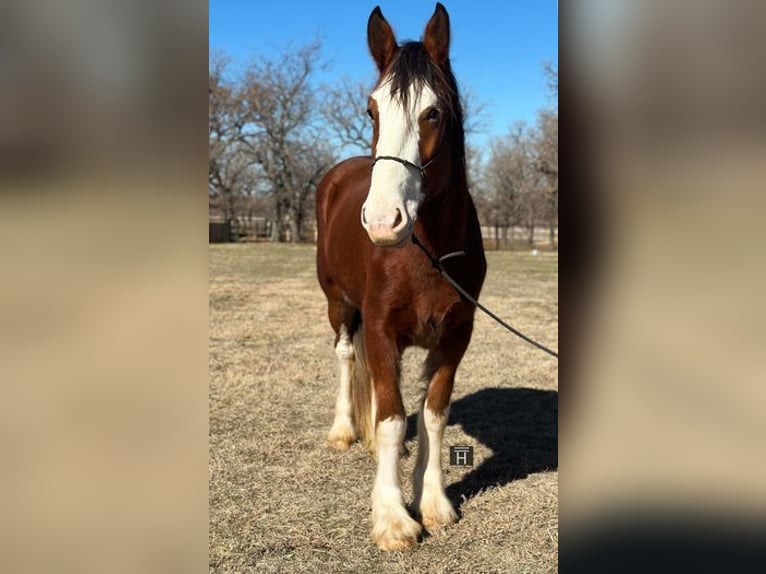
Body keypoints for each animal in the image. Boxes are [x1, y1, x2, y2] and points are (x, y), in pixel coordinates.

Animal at [314, 4, 486, 552]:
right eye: (372, 111)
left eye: (433, 112)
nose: (382, 220)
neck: (426, 251)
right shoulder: (381, 329)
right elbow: (390, 419)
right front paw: (392, 518)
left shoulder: (455, 336)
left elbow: (433, 414)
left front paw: (432, 502)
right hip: (339, 305)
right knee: (347, 358)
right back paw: (344, 430)